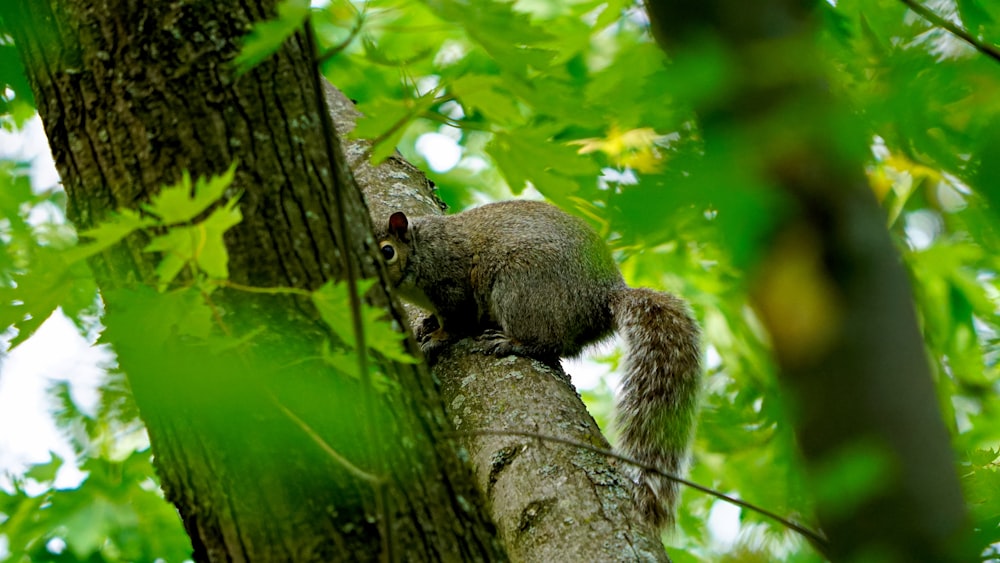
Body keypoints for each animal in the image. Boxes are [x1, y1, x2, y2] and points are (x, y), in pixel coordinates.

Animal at [376, 200, 704, 532]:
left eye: (387, 251)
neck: (418, 249)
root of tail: (602, 297)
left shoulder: (451, 282)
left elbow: (457, 322)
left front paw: (436, 339)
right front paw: (427, 324)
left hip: (520, 287)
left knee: (547, 342)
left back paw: (513, 342)